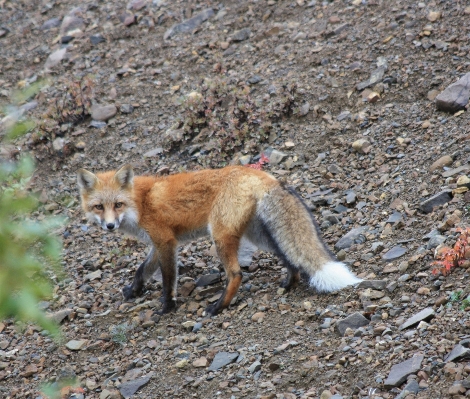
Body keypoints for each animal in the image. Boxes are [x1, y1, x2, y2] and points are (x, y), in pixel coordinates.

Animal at [78, 165, 364, 316]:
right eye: (98, 207)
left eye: (117, 204)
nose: (110, 226)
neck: (140, 203)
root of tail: (259, 174)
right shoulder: (159, 243)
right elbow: (142, 270)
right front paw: (133, 290)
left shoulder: (166, 241)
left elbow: (168, 280)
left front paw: (167, 306)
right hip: (257, 235)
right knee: (288, 255)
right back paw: (289, 283)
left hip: (221, 235)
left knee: (236, 274)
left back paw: (218, 307)